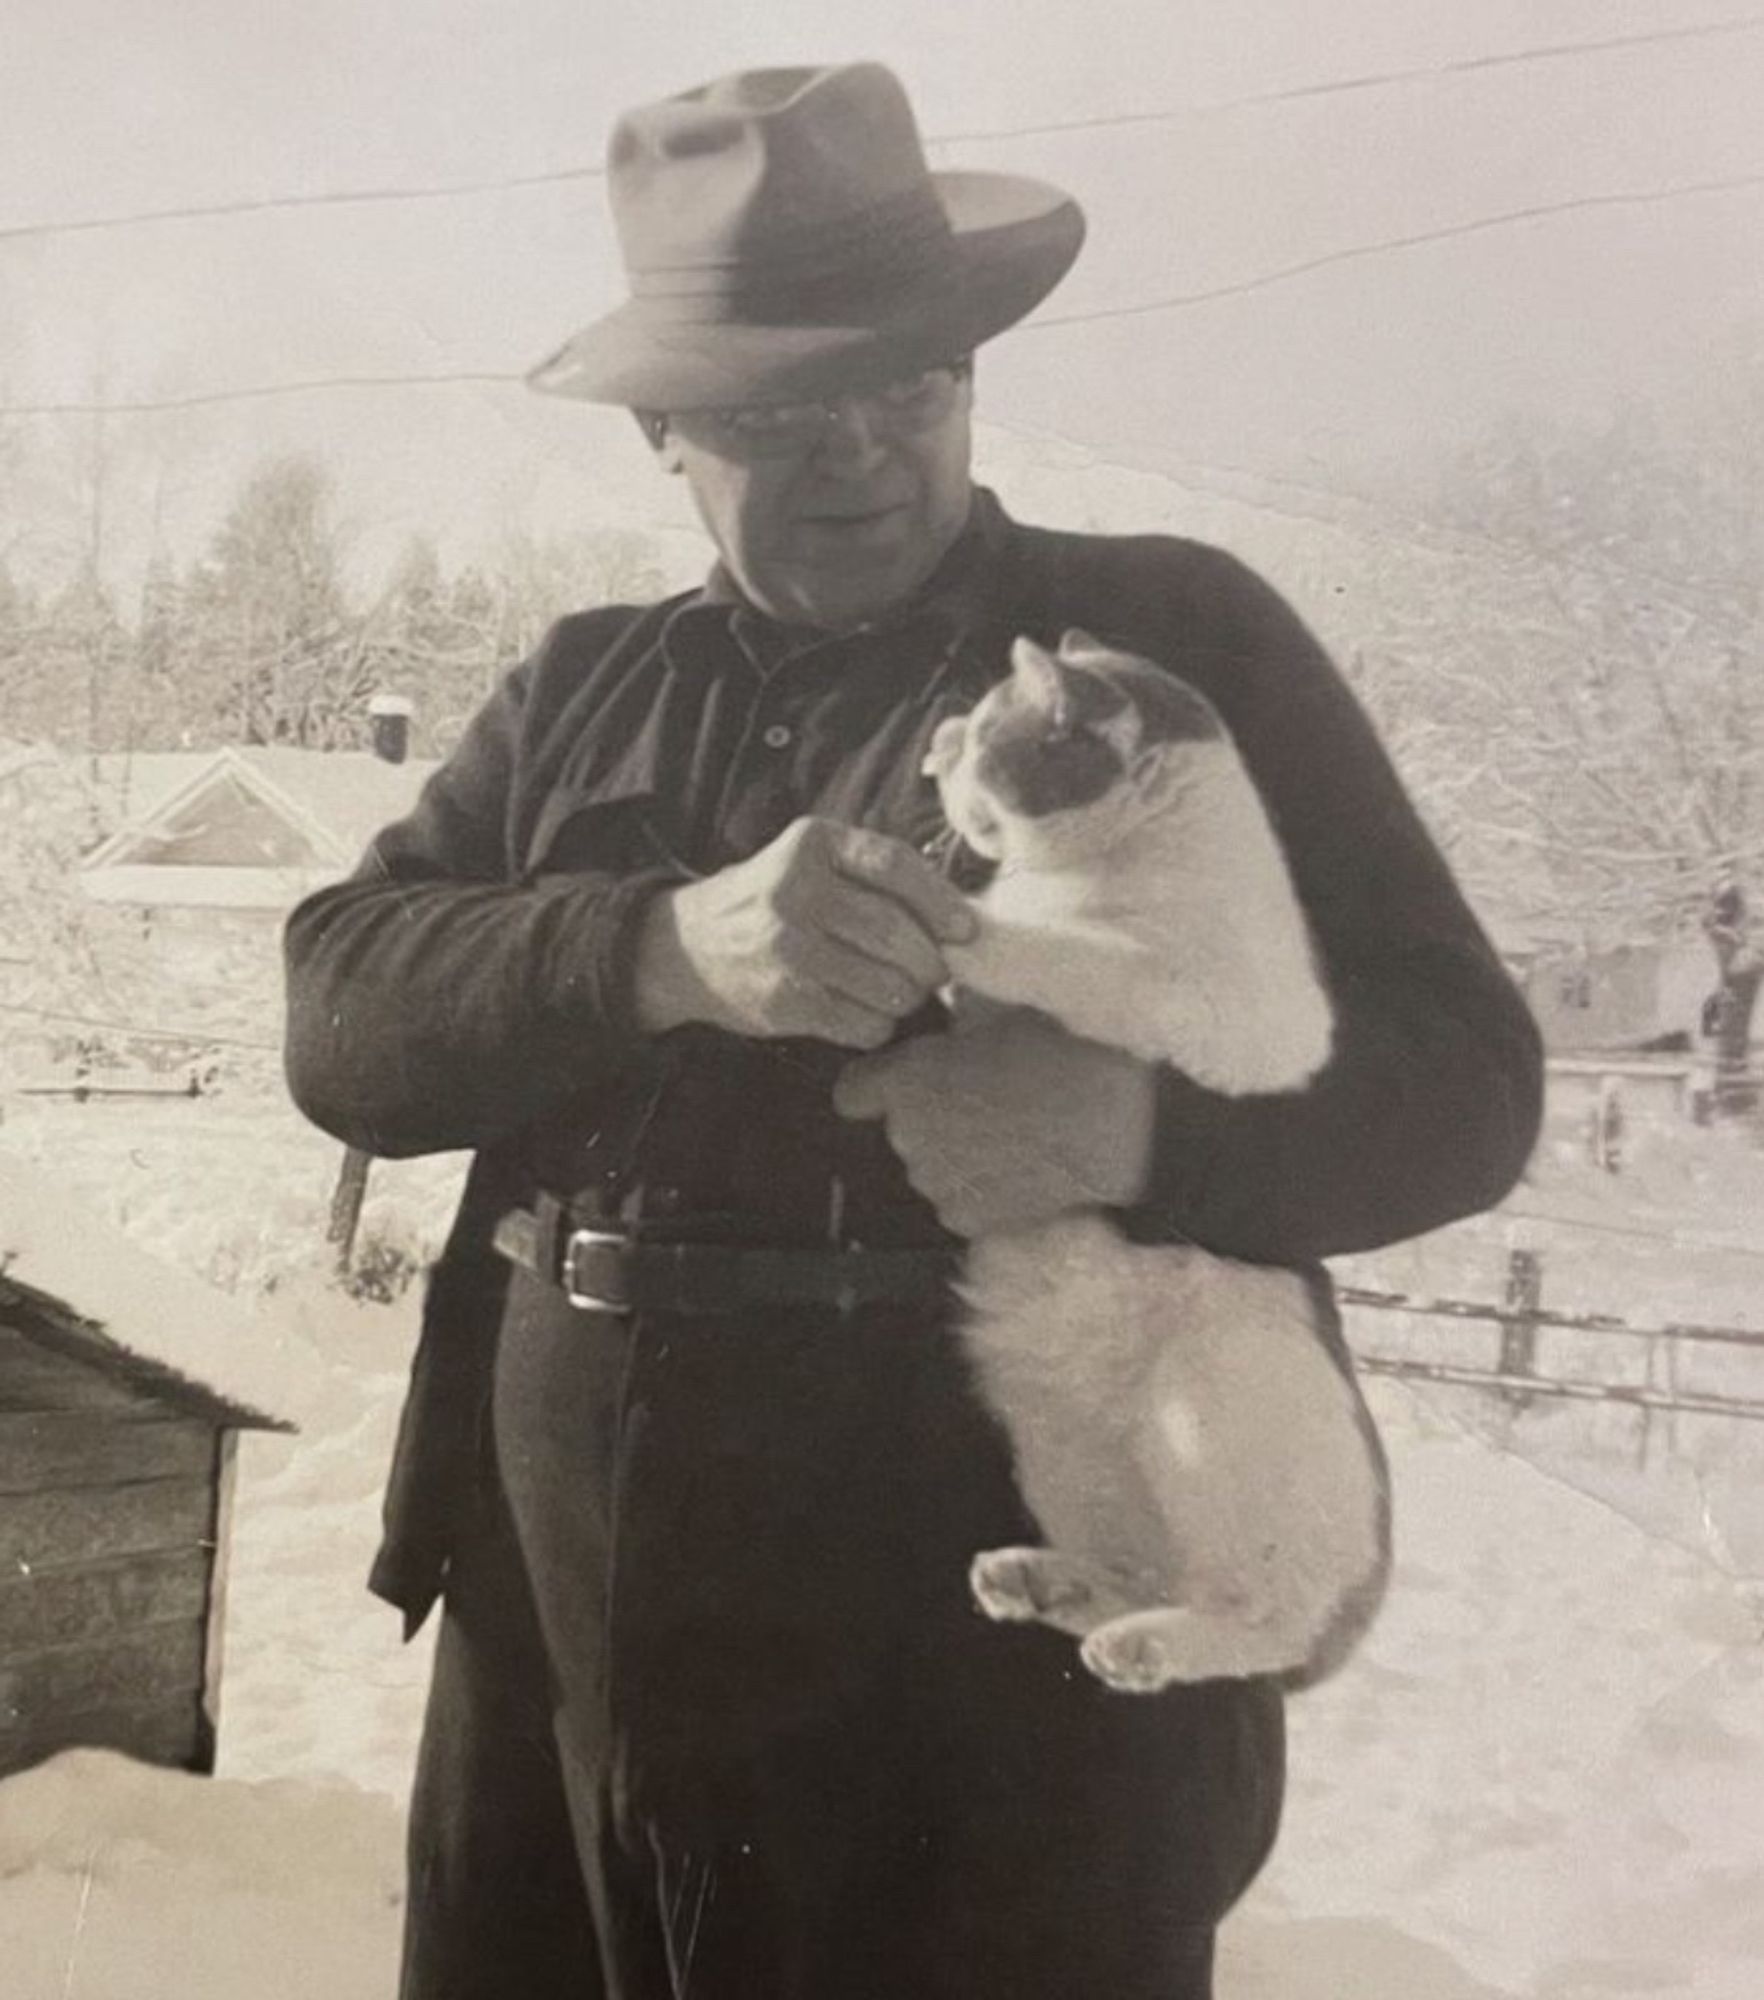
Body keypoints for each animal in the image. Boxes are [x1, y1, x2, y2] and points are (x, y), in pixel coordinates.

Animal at [920, 624, 1392, 1688]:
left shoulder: (1211, 1013)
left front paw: (965, 927)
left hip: (1211, 1399)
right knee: (1137, 1569)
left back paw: (1148, 1645)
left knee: (1261, 1618)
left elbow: (1071, 957)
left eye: (987, 738)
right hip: (1061, 1444)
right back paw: (1045, 1585)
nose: (940, 743)